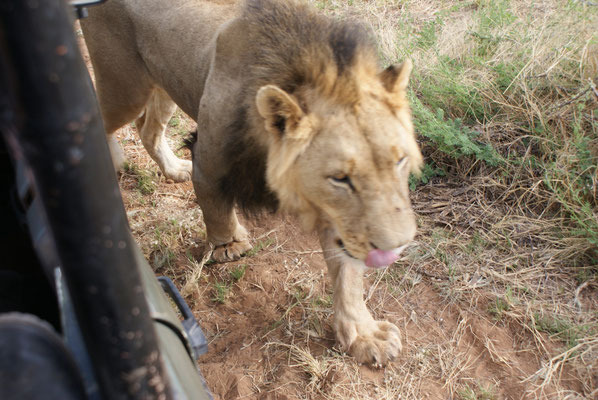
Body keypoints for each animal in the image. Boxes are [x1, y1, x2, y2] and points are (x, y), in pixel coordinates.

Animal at [81, 0, 426, 366]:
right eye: (340, 178)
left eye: (400, 161)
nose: (397, 246)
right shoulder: (209, 158)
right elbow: (214, 205)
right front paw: (229, 246)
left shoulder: (339, 215)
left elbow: (348, 276)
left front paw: (364, 334)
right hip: (123, 85)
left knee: (147, 128)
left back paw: (173, 169)